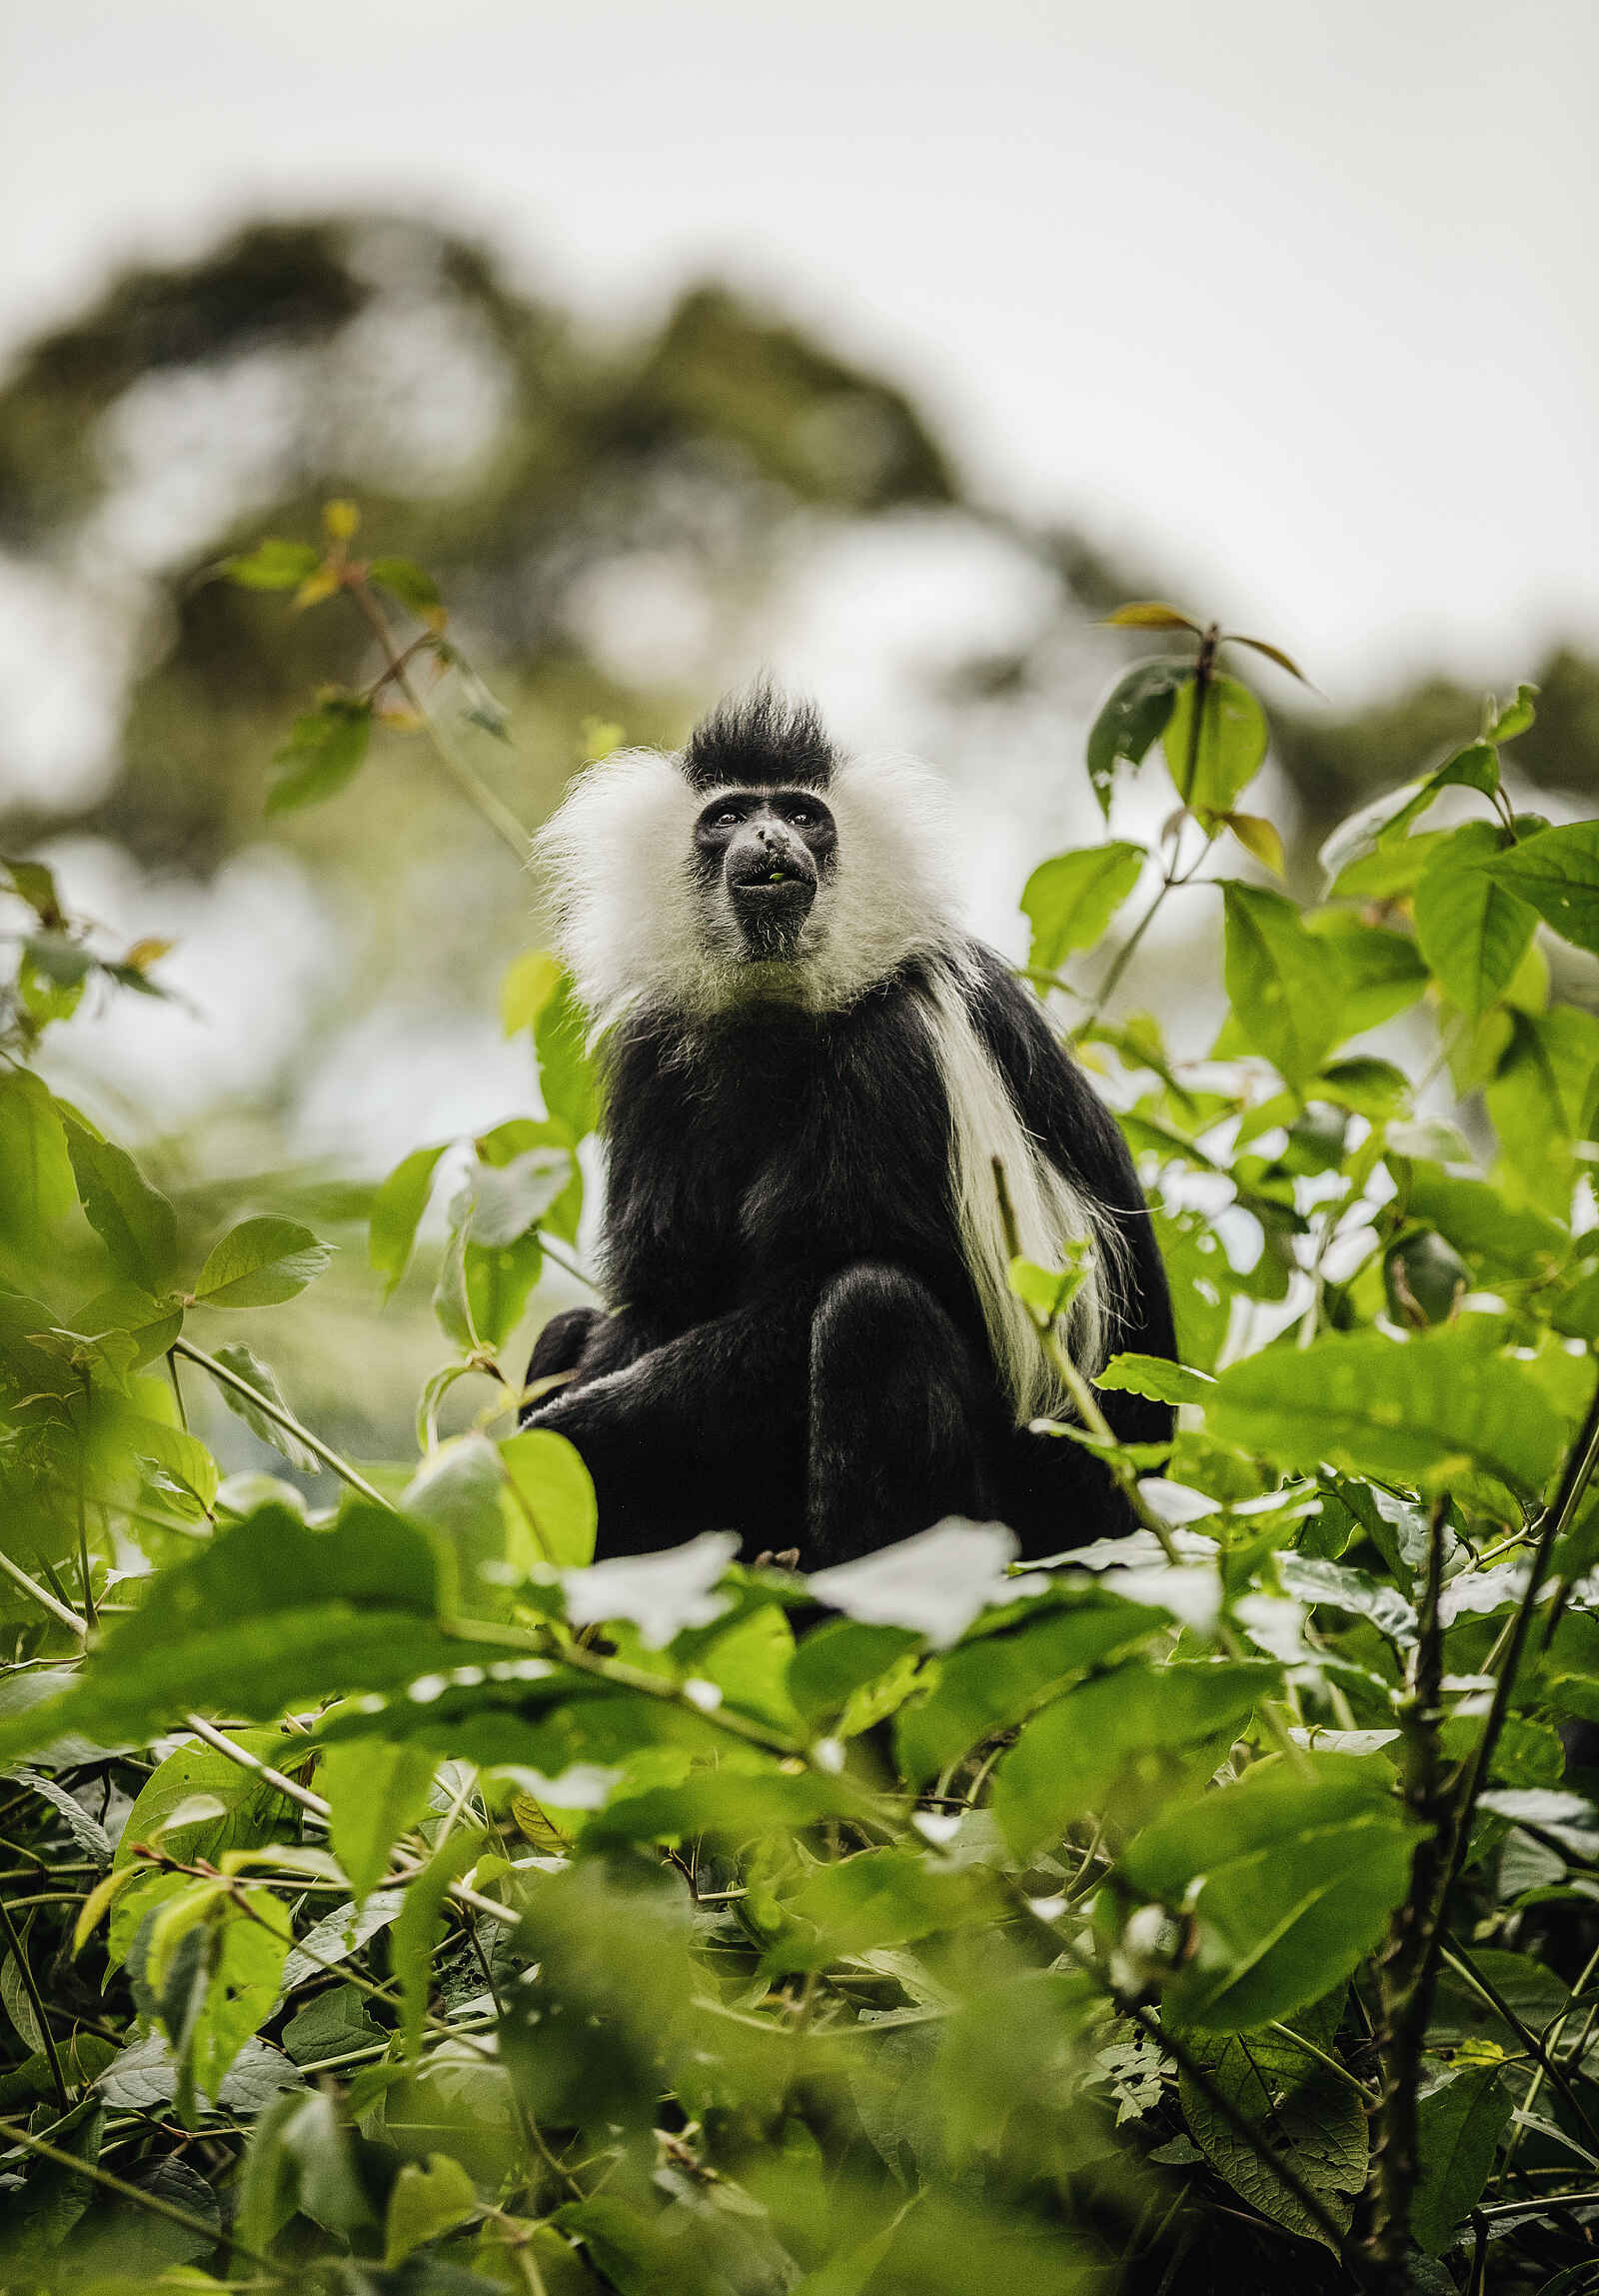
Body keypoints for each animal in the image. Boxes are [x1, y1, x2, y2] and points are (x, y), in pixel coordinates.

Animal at [519, 689, 1177, 1567]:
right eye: (729, 816)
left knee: (872, 1308)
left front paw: (562, 1435)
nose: (771, 838)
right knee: (570, 1328)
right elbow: (662, 1289)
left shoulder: (896, 1049)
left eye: (802, 813)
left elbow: (815, 1286)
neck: (782, 1017)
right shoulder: (653, 1060)